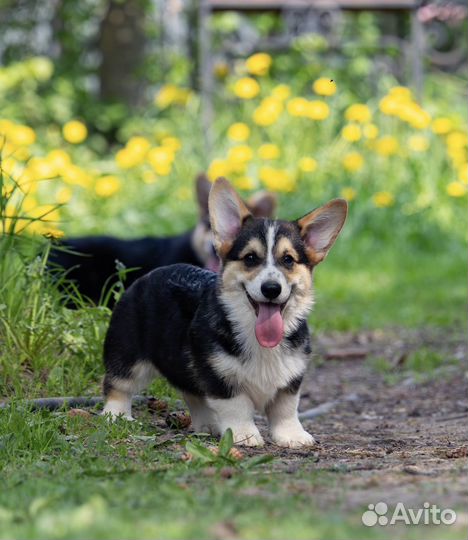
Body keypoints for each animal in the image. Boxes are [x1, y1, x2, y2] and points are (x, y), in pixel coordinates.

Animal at [102, 177, 348, 448]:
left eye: (288, 260)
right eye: (250, 258)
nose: (271, 289)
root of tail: (149, 275)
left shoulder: (292, 376)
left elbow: (286, 408)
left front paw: (292, 436)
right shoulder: (220, 375)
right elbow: (237, 406)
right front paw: (245, 435)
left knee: (192, 393)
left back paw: (208, 425)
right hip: (127, 354)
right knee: (117, 385)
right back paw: (116, 415)